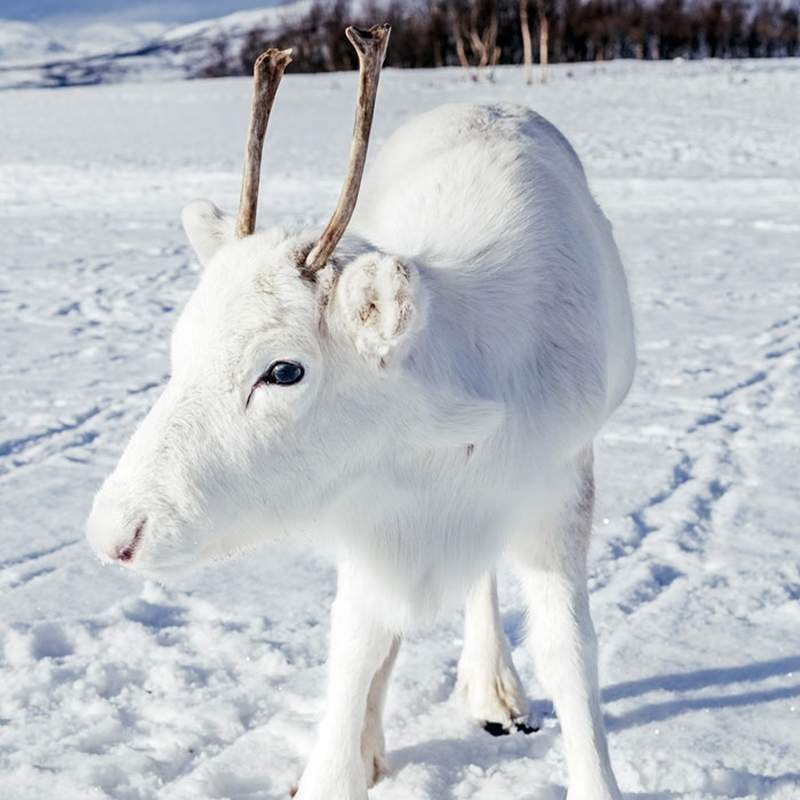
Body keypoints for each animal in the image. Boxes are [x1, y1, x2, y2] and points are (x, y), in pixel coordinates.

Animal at [86, 23, 635, 800]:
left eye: (284, 370)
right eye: (179, 345)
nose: (115, 533)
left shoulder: (556, 487)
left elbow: (570, 655)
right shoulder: (368, 515)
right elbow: (356, 645)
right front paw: (340, 764)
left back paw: (492, 688)